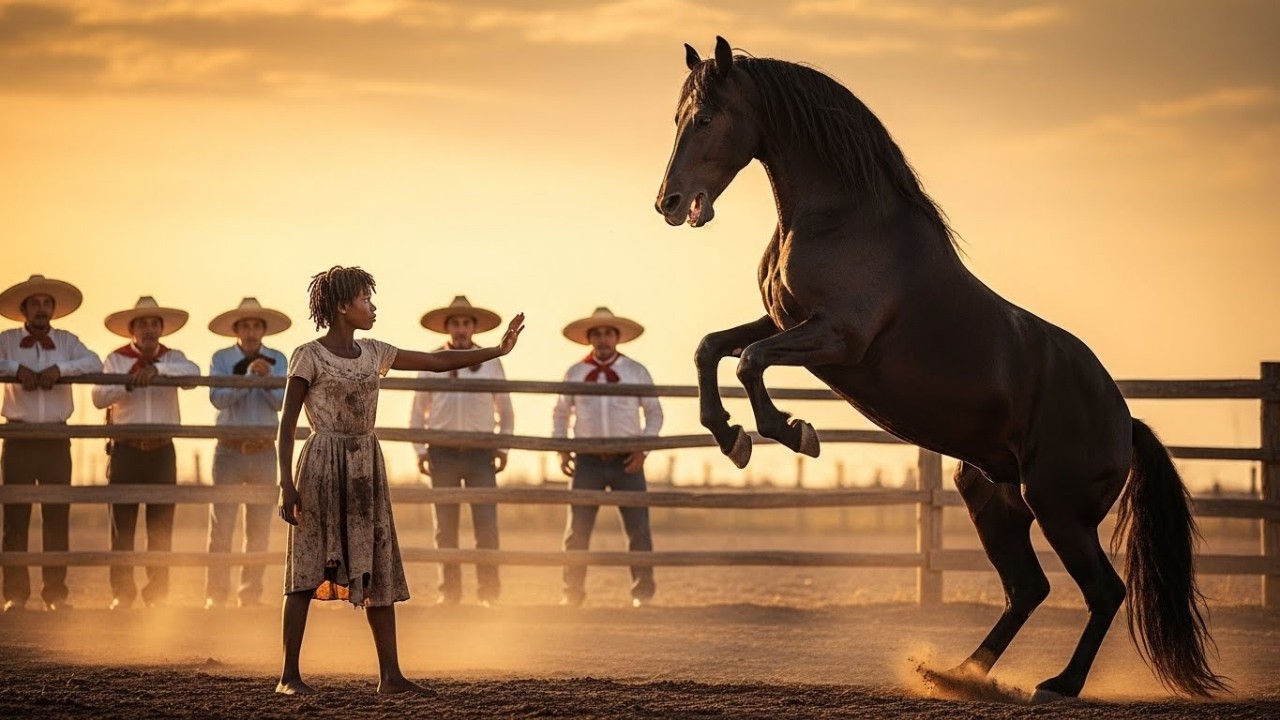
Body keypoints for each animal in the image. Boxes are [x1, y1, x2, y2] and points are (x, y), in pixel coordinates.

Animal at [654, 36, 1226, 702]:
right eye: (677, 117)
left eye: (705, 118)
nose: (668, 203)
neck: (844, 219)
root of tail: (1124, 421)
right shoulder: (783, 320)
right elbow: (712, 348)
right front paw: (731, 436)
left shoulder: (838, 338)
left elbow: (749, 361)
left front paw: (793, 432)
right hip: (992, 498)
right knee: (1028, 588)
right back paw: (956, 672)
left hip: (1058, 508)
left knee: (1103, 591)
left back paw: (1058, 684)